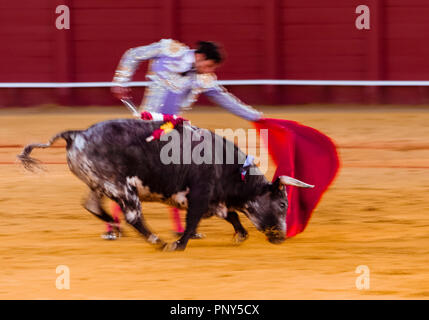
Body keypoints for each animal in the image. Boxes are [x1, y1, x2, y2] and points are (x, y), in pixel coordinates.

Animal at [17, 119, 310, 251]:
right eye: (282, 203)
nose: (282, 236)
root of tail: (77, 134)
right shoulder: (201, 195)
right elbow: (193, 221)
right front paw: (180, 243)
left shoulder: (213, 200)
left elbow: (232, 215)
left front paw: (240, 235)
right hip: (122, 188)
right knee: (133, 215)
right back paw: (156, 240)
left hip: (99, 184)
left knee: (92, 205)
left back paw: (115, 228)